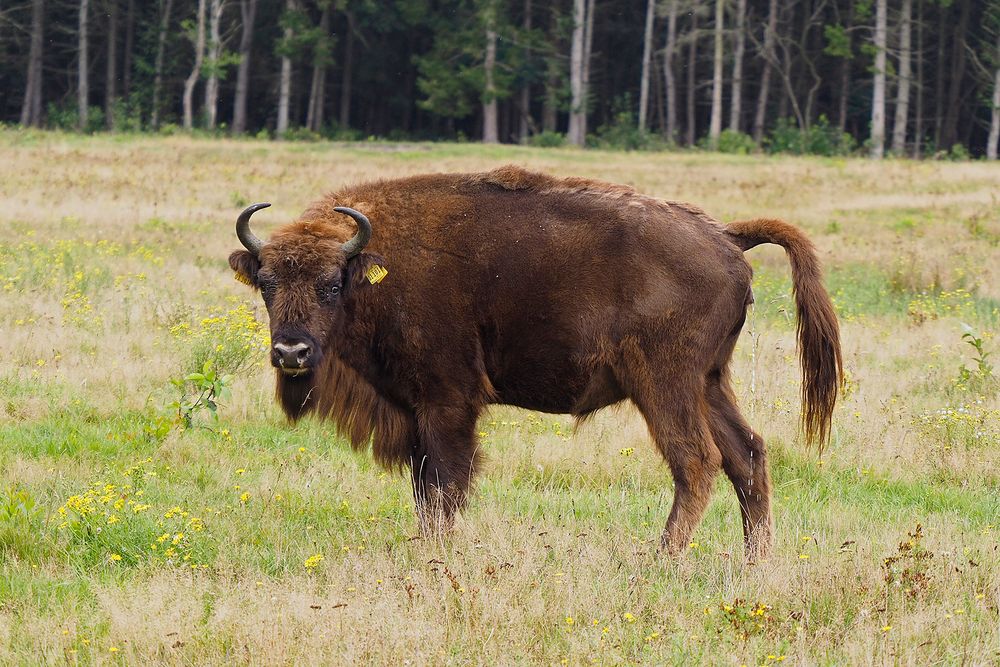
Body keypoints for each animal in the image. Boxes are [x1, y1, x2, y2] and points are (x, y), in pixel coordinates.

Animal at [230, 167, 840, 560]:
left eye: (331, 285)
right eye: (267, 283)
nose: (291, 353)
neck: (375, 265)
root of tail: (726, 236)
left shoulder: (445, 402)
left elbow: (443, 483)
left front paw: (435, 554)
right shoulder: (414, 410)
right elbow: (426, 485)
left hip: (665, 381)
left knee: (697, 459)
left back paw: (660, 560)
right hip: (709, 381)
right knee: (747, 454)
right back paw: (754, 562)